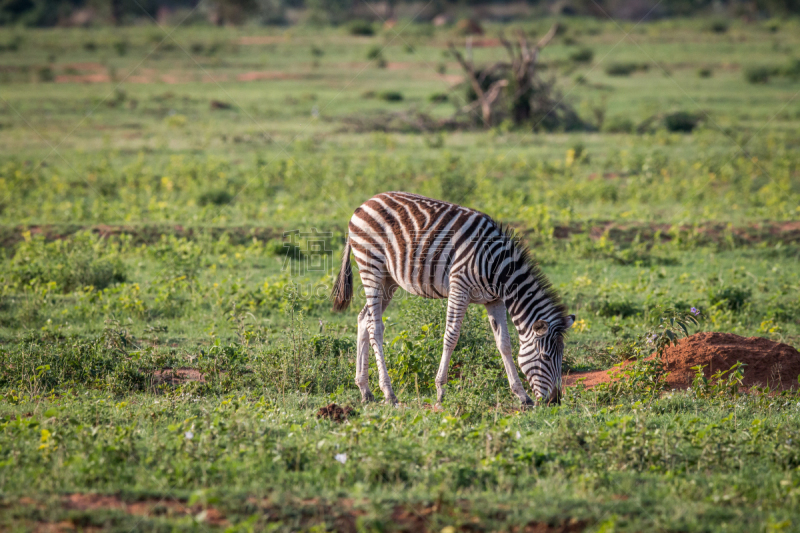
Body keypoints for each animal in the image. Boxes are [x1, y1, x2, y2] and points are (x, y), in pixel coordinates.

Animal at [332, 193, 576, 406]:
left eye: (561, 356)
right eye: (545, 357)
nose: (555, 401)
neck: (497, 268)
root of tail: (366, 202)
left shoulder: (494, 300)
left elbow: (504, 344)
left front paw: (522, 395)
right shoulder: (459, 287)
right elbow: (451, 337)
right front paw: (440, 391)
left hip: (388, 279)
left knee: (363, 318)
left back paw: (365, 390)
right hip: (371, 266)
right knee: (375, 327)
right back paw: (388, 393)